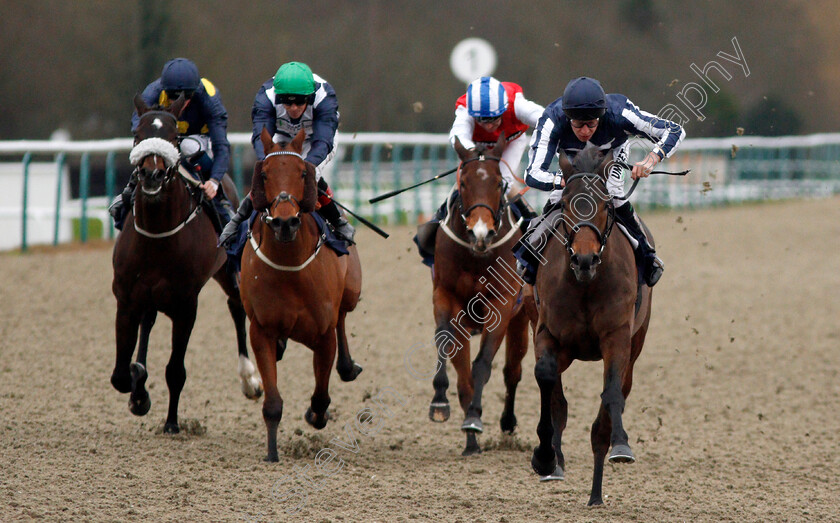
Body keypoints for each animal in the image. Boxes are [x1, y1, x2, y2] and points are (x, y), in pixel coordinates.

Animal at [111, 93, 260, 434]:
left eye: (173, 138)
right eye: (137, 135)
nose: (151, 175)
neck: (156, 233)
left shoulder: (185, 304)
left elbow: (175, 370)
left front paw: (171, 423)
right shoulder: (126, 297)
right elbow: (122, 374)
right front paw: (139, 393)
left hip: (226, 269)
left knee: (237, 306)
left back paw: (249, 379)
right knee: (148, 321)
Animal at [241, 127, 362, 462]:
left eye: (302, 173)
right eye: (264, 174)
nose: (285, 222)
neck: (289, 267)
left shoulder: (323, 334)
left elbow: (321, 396)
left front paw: (315, 415)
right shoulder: (261, 331)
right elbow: (272, 402)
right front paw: (271, 453)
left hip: (352, 290)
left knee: (343, 316)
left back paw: (348, 367)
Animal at [430, 134, 536, 454]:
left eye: (499, 183)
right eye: (463, 182)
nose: (481, 233)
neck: (476, 255)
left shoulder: (500, 304)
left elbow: (483, 366)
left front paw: (475, 419)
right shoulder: (445, 296)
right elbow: (444, 342)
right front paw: (439, 402)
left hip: (522, 319)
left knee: (512, 371)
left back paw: (506, 424)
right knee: (464, 377)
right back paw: (471, 443)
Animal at [528, 148, 652, 508]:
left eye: (606, 206)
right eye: (568, 203)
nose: (585, 260)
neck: (584, 284)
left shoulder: (617, 338)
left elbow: (610, 396)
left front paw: (597, 490)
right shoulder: (547, 334)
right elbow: (547, 381)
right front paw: (545, 457)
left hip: (638, 339)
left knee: (623, 388)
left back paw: (617, 452)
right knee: (557, 397)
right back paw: (555, 462)